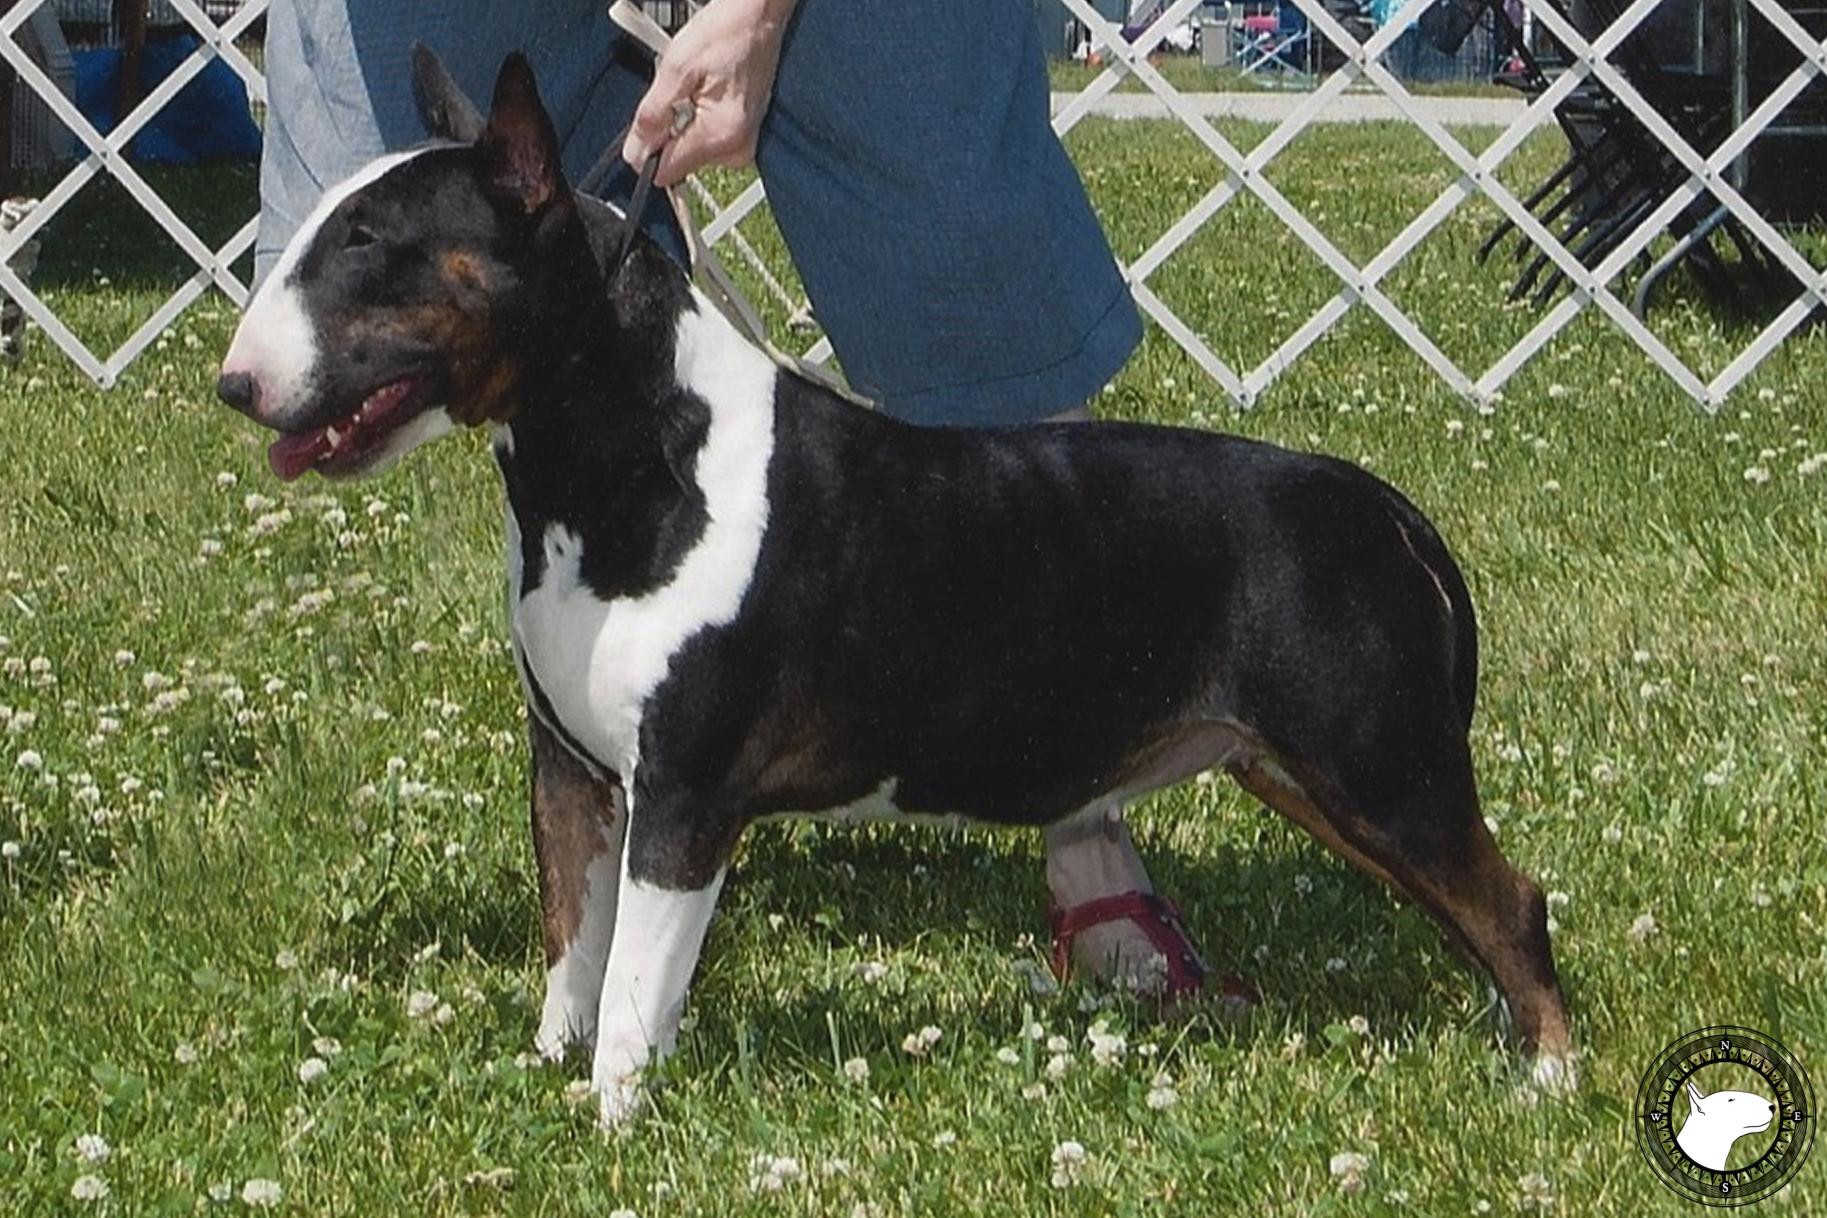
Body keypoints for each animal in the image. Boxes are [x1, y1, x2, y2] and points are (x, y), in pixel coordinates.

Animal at [221, 54, 1578, 1124]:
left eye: (369, 248)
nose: (236, 385)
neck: (627, 457)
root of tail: (1383, 508)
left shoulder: (683, 801)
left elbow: (635, 986)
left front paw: (609, 1122)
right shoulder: (572, 775)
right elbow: (573, 947)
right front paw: (545, 1072)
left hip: (1374, 763)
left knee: (1511, 899)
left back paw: (1552, 1075)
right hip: (1305, 771)